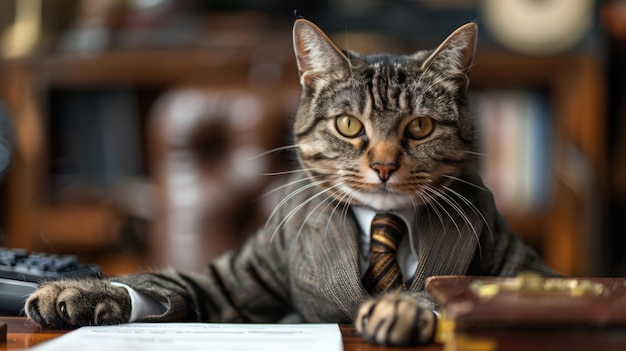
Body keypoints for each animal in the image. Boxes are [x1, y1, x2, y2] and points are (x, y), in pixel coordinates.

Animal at [24, 18, 552, 346]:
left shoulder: (524, 270)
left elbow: (473, 291)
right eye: (349, 125)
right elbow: (170, 284)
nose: (383, 166)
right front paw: (79, 292)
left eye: (420, 127)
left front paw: (404, 307)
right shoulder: (236, 278)